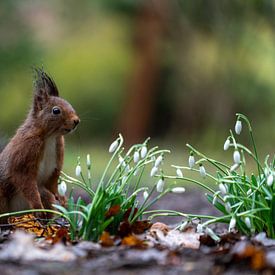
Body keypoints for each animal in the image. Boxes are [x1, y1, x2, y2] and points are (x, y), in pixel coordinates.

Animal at [0, 69, 80, 222]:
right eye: (56, 111)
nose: (76, 121)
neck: (50, 137)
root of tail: (18, 214)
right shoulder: (24, 154)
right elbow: (26, 183)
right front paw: (38, 205)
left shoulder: (57, 155)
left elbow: (53, 181)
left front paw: (61, 198)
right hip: (1, 196)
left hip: (45, 196)